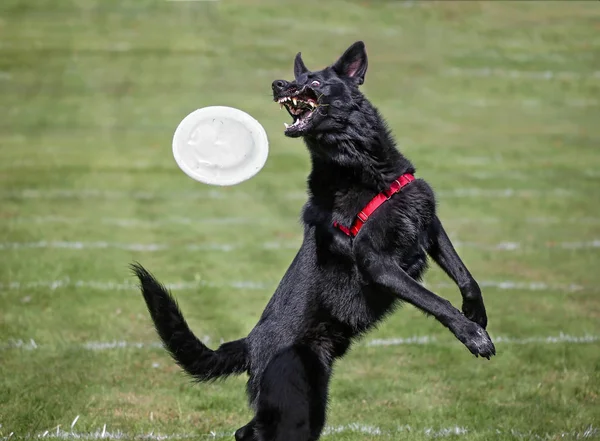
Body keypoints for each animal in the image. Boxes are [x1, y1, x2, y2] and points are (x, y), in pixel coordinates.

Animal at [134, 41, 494, 440]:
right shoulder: (377, 263)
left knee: (247, 430)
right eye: (297, 78)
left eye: (315, 81)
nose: (278, 84)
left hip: (308, 403)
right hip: (296, 403)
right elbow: (434, 300)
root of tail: (249, 344)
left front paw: (476, 315)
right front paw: (472, 335)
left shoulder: (427, 224)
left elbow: (465, 276)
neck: (363, 168)